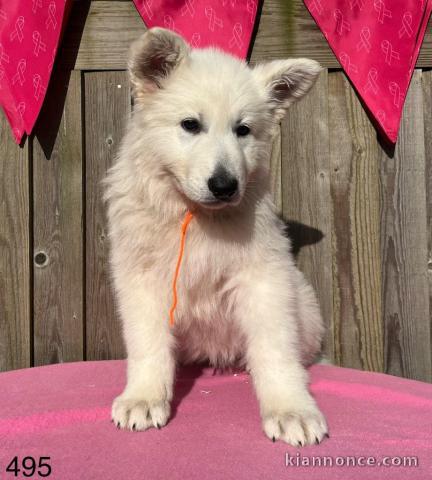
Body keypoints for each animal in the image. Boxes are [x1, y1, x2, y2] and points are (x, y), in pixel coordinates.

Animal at [104, 27, 328, 446]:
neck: (198, 216)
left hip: (305, 308)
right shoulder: (142, 279)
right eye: (190, 125)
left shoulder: (264, 277)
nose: (225, 186)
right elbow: (148, 344)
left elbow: (276, 348)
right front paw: (143, 398)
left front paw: (291, 409)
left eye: (243, 130)